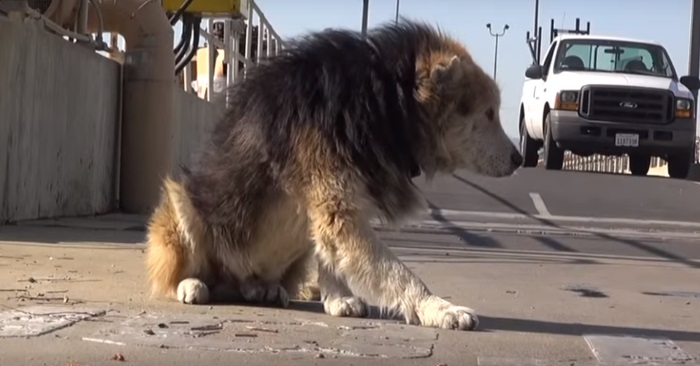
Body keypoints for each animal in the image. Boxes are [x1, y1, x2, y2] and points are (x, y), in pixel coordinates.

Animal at [145, 18, 524, 330]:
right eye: (488, 113)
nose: (520, 158)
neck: (384, 98)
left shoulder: (333, 207)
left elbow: (331, 254)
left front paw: (338, 298)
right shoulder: (337, 207)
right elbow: (398, 273)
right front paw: (438, 308)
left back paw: (262, 288)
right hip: (181, 203)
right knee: (177, 272)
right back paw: (192, 284)